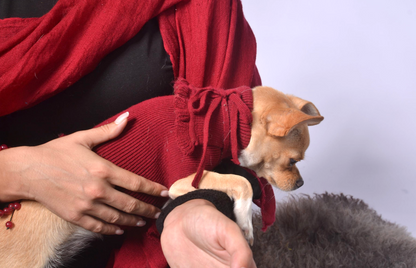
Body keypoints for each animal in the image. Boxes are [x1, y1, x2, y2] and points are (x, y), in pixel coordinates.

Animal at [0, 86, 322, 266]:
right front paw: (244, 222)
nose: (302, 183)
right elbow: (242, 182)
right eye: (293, 161)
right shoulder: (183, 179)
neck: (226, 117)